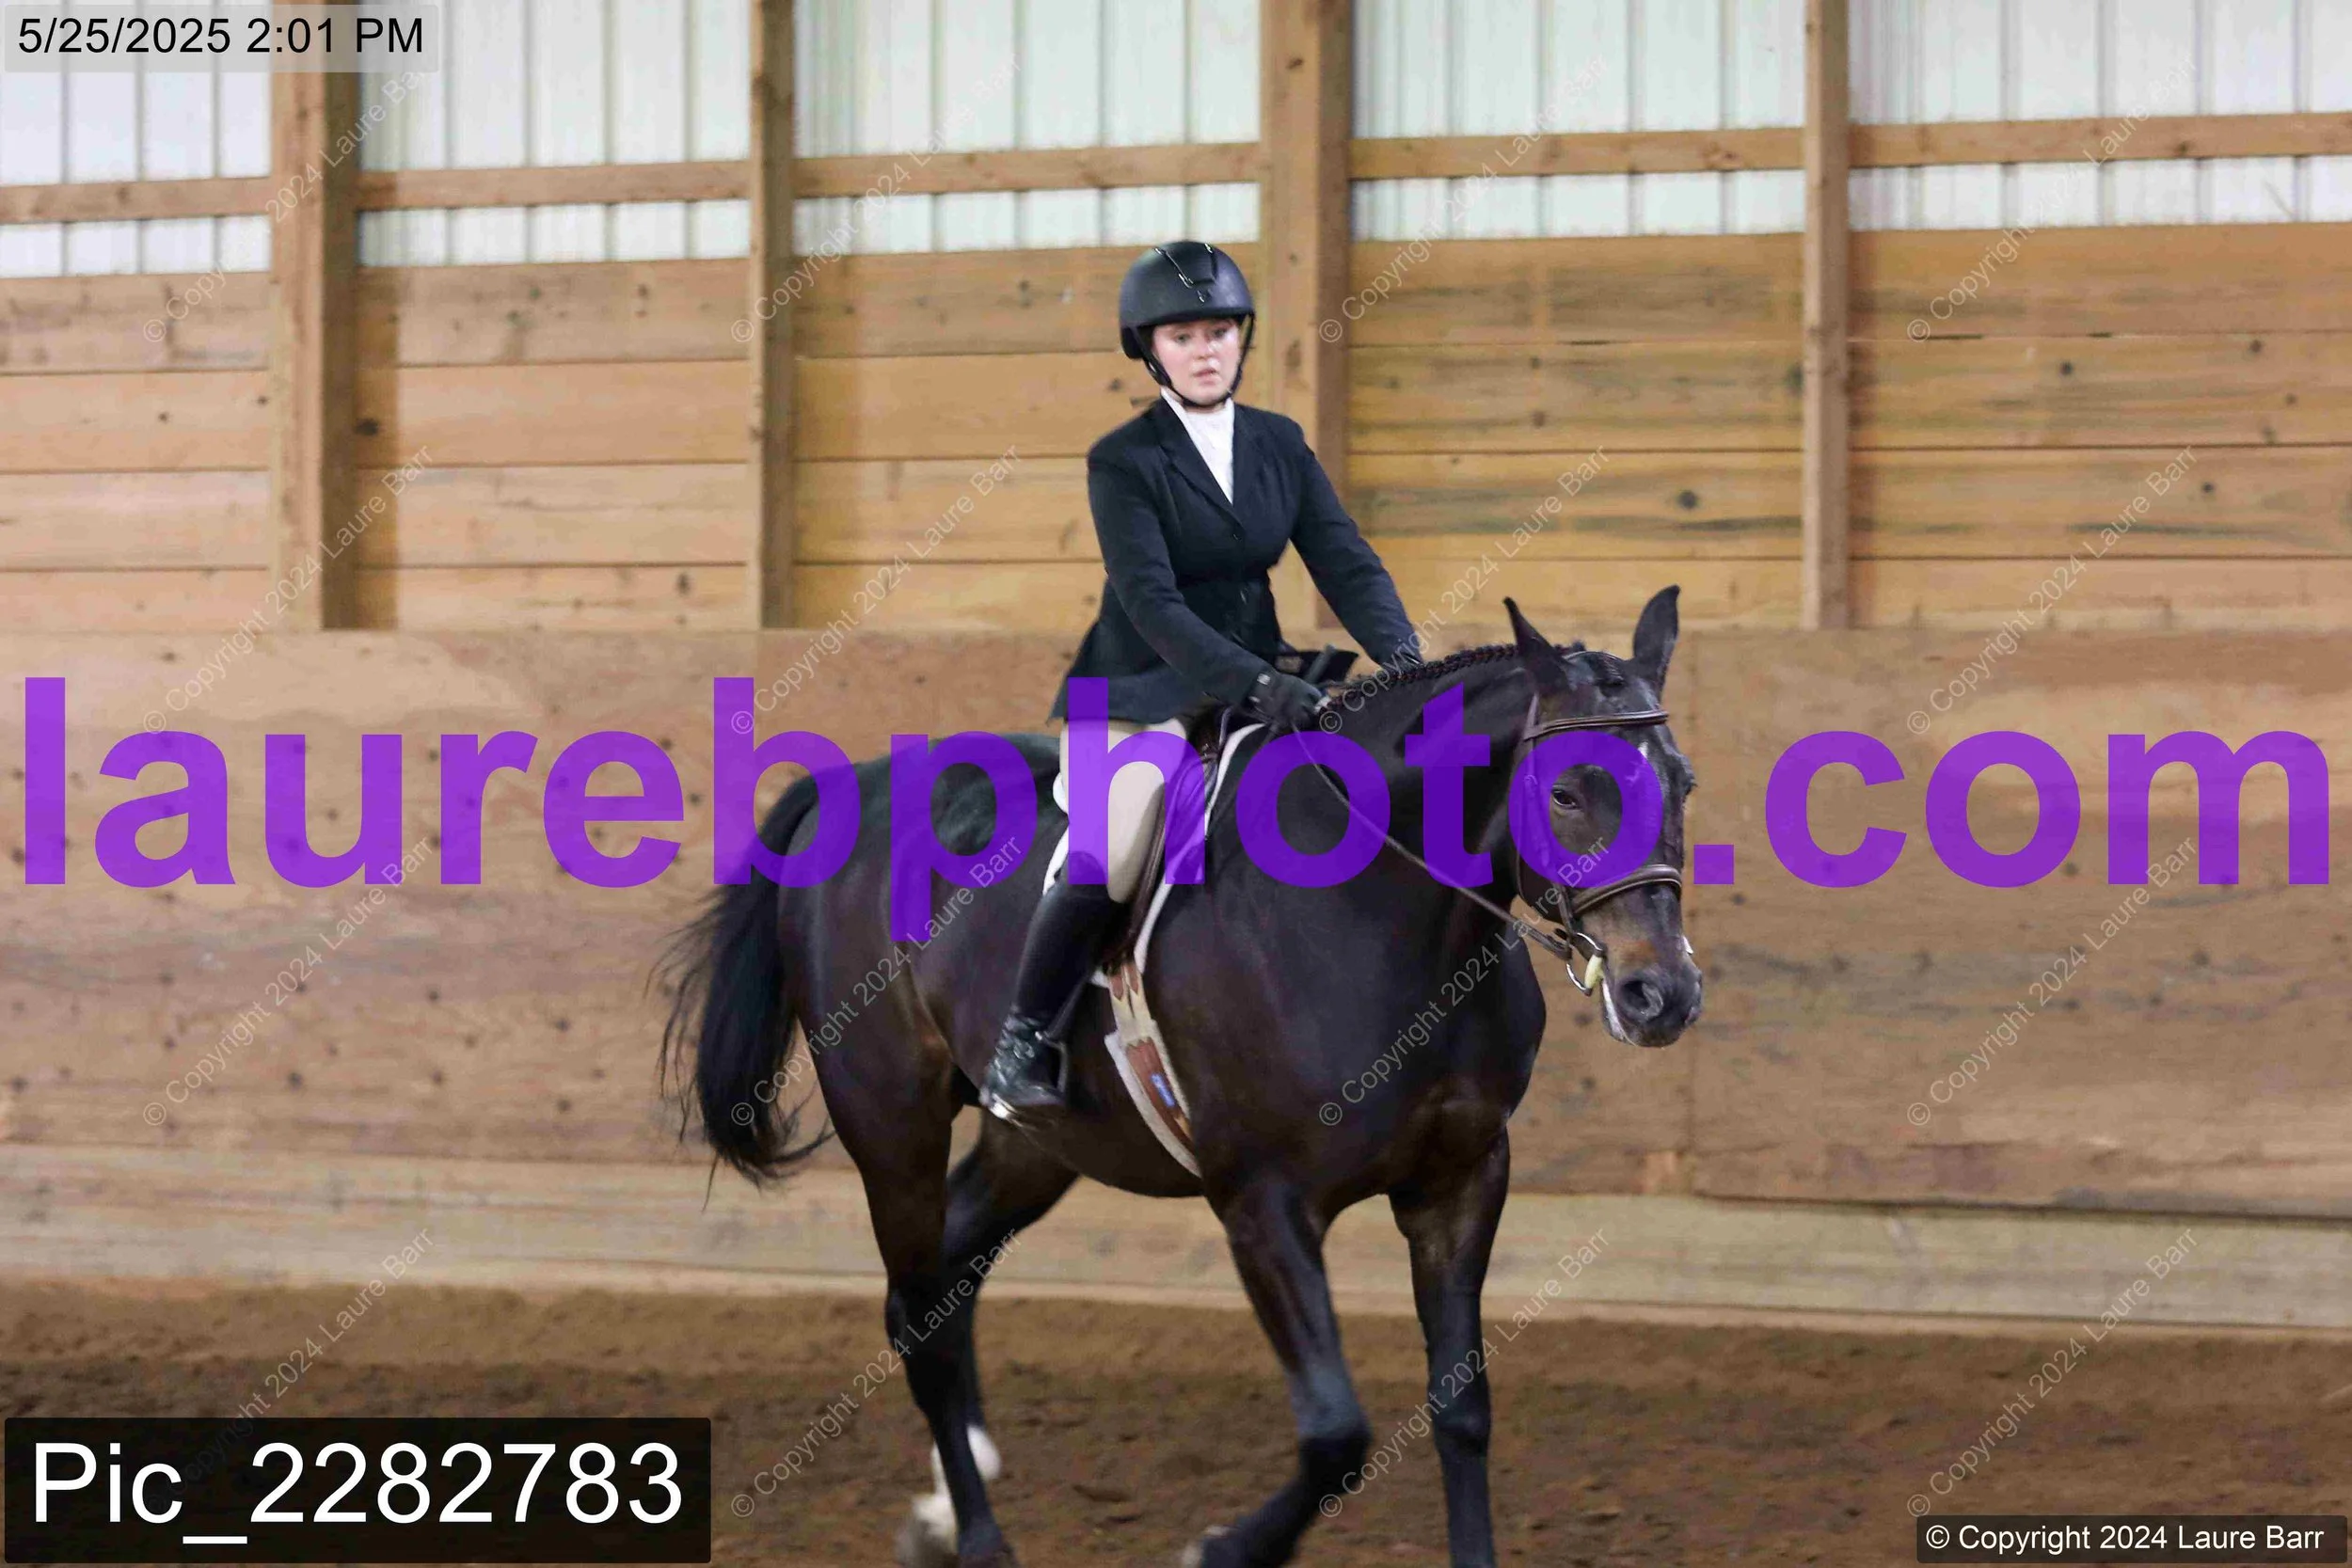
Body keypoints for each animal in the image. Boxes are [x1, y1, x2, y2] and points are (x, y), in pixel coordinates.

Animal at [660, 589, 1703, 1568]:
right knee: (918, 1304)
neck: (1380, 918)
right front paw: (1221, 1547)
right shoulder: (1262, 1202)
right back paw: (983, 1537)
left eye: (1681, 781)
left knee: (945, 1282)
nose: (1660, 994)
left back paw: (946, 1514)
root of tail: (856, 783)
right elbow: (1336, 1434)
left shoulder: (1460, 1181)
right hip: (892, 1121)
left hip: (1035, 1143)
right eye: (1567, 793)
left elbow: (1463, 1410)